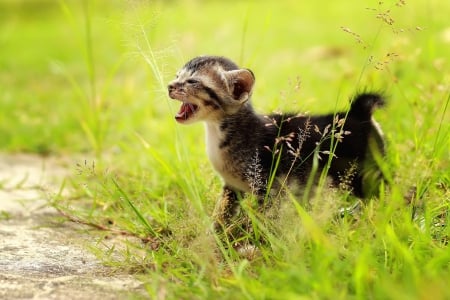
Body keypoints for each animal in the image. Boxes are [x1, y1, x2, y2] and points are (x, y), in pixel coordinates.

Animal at [167, 56, 384, 229]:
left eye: (192, 81)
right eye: (177, 76)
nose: (170, 85)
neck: (218, 133)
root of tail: (358, 113)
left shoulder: (266, 185)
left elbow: (261, 217)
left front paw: (250, 236)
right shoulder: (232, 186)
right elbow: (222, 211)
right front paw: (215, 233)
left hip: (362, 173)